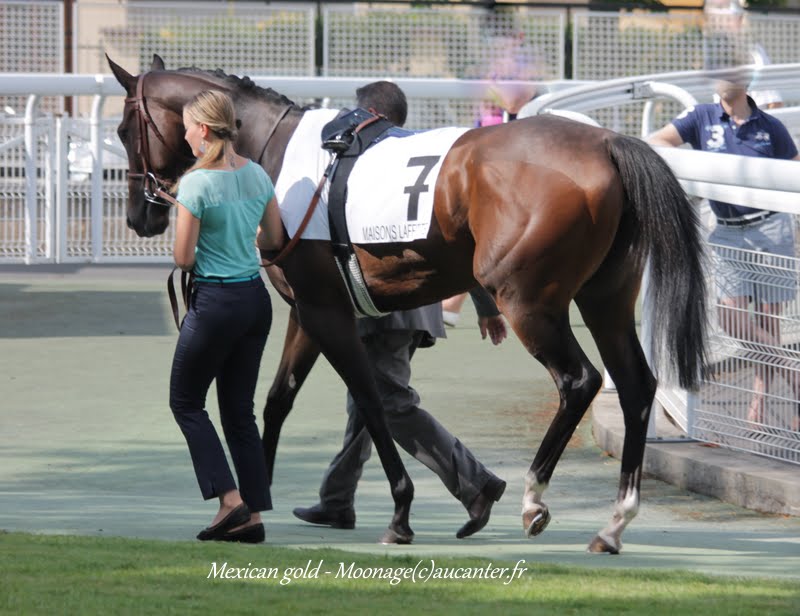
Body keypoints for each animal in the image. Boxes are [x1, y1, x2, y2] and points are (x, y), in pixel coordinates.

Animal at [106, 54, 708, 552]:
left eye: (122, 129)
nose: (140, 213)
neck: (270, 151)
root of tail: (607, 144)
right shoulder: (307, 309)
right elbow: (279, 400)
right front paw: (255, 503)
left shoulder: (325, 309)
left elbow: (370, 400)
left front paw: (399, 512)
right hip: (605, 297)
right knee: (636, 385)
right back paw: (613, 523)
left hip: (527, 301)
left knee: (579, 380)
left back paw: (533, 499)